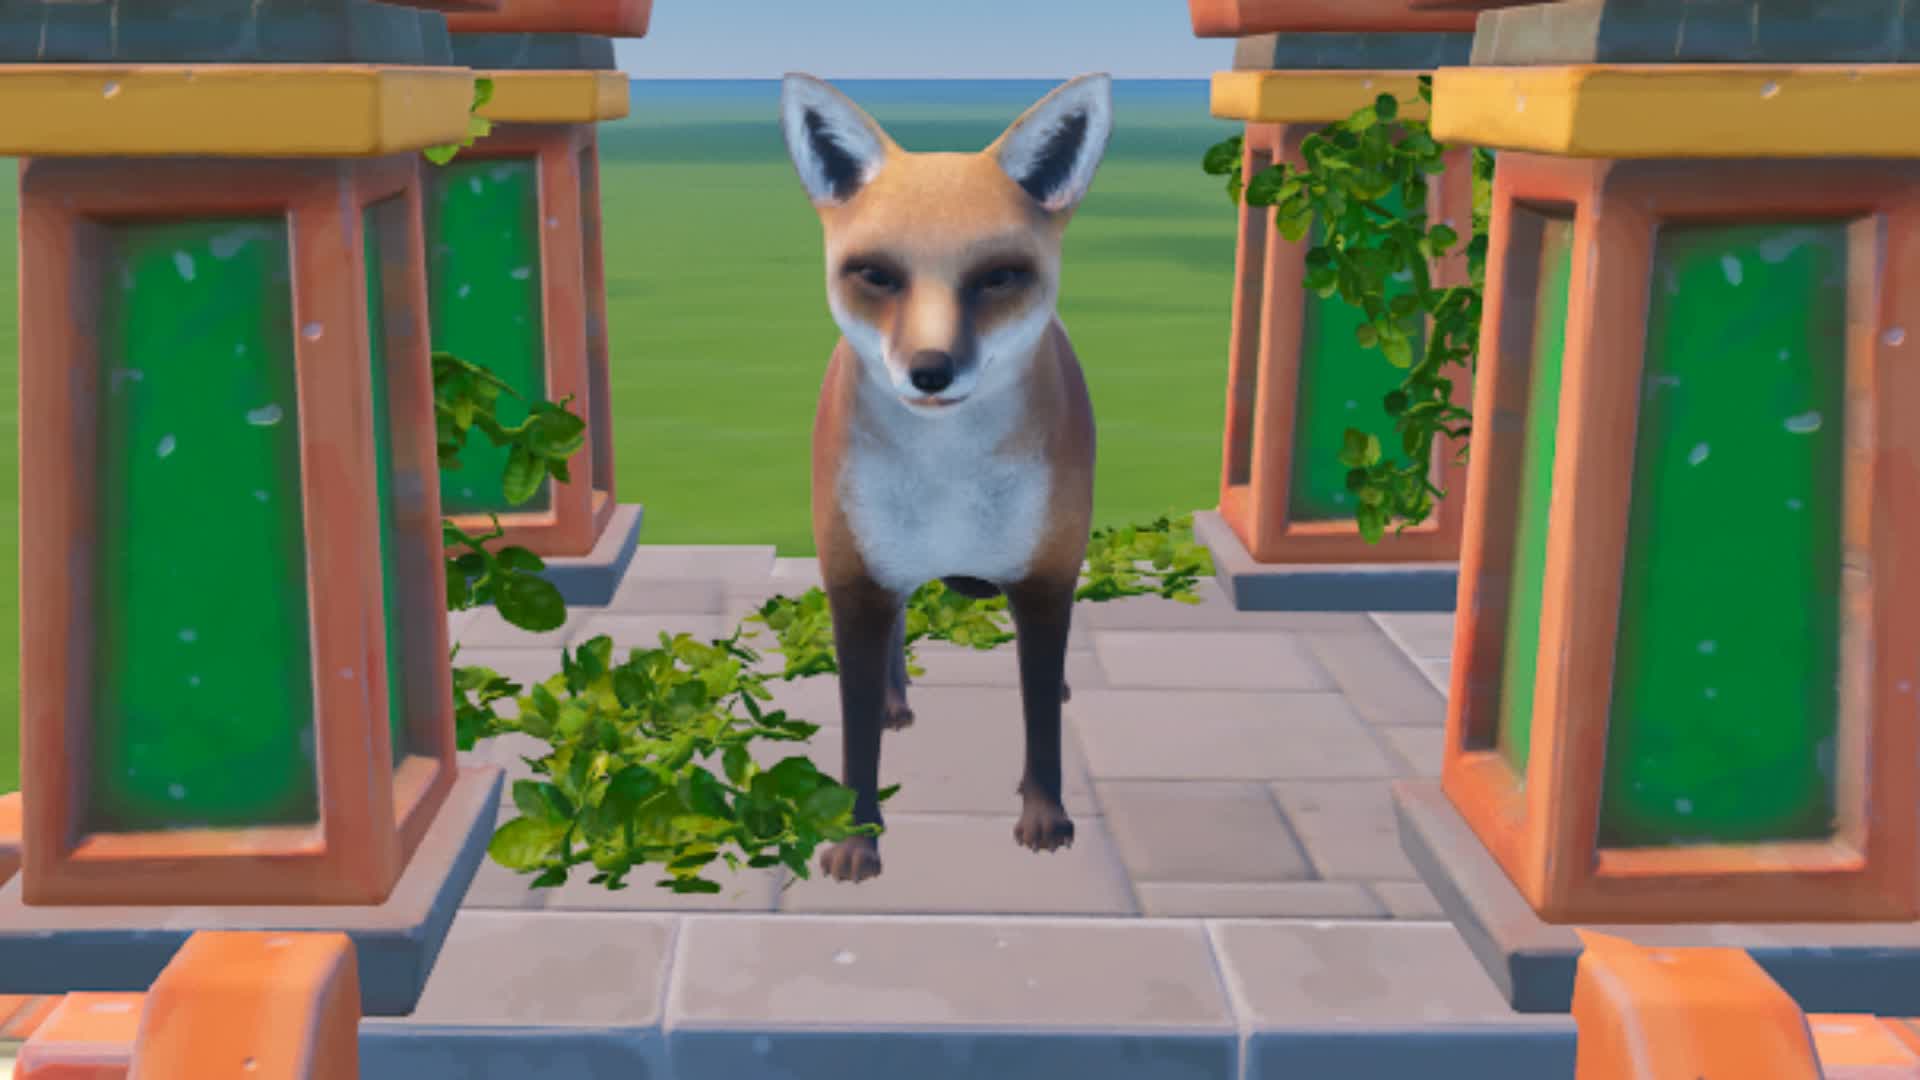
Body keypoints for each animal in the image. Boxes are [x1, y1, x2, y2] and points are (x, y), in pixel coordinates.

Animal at [778, 72, 1113, 882]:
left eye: (998, 276)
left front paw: (1044, 816)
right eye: (875, 274)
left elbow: (1039, 722)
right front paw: (856, 842)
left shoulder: (1045, 577)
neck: (949, 484)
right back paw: (896, 701)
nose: (930, 371)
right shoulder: (856, 577)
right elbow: (856, 735)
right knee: (898, 630)